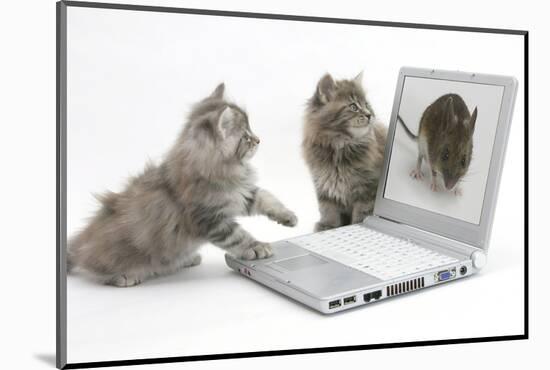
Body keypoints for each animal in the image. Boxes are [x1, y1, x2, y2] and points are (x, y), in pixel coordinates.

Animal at [304, 72, 390, 231]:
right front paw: (327, 226)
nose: (369, 115)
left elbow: (362, 213)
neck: (340, 146)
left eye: (367, 105)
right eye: (353, 106)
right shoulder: (324, 185)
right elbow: (328, 210)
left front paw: (357, 224)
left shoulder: (367, 189)